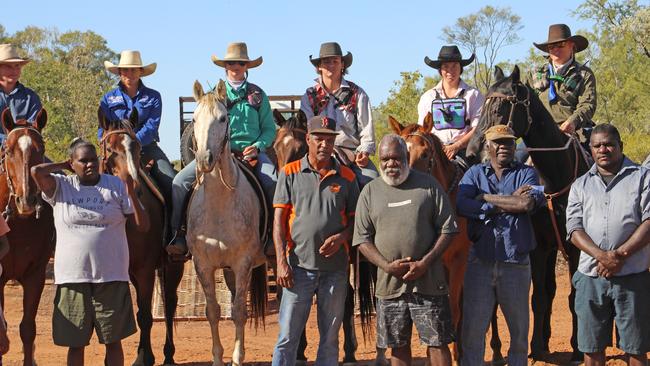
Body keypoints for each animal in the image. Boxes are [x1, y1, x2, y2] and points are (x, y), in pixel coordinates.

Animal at [98, 109, 185, 366]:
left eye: (136, 147)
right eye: (110, 148)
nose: (133, 188)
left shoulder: (145, 270)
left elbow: (146, 315)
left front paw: (144, 357)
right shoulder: (124, 272)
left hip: (173, 266)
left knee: (169, 304)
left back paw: (168, 354)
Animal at [186, 80, 268, 366]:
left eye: (223, 118)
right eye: (194, 118)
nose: (204, 160)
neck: (220, 207)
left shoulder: (242, 263)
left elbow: (239, 311)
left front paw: (237, 357)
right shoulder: (203, 265)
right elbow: (212, 311)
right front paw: (218, 357)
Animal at [464, 66, 588, 364]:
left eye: (500, 107)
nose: (471, 152)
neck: (555, 177)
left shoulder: (574, 246)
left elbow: (574, 295)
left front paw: (577, 349)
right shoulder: (540, 248)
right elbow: (539, 297)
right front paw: (536, 347)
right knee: (549, 290)